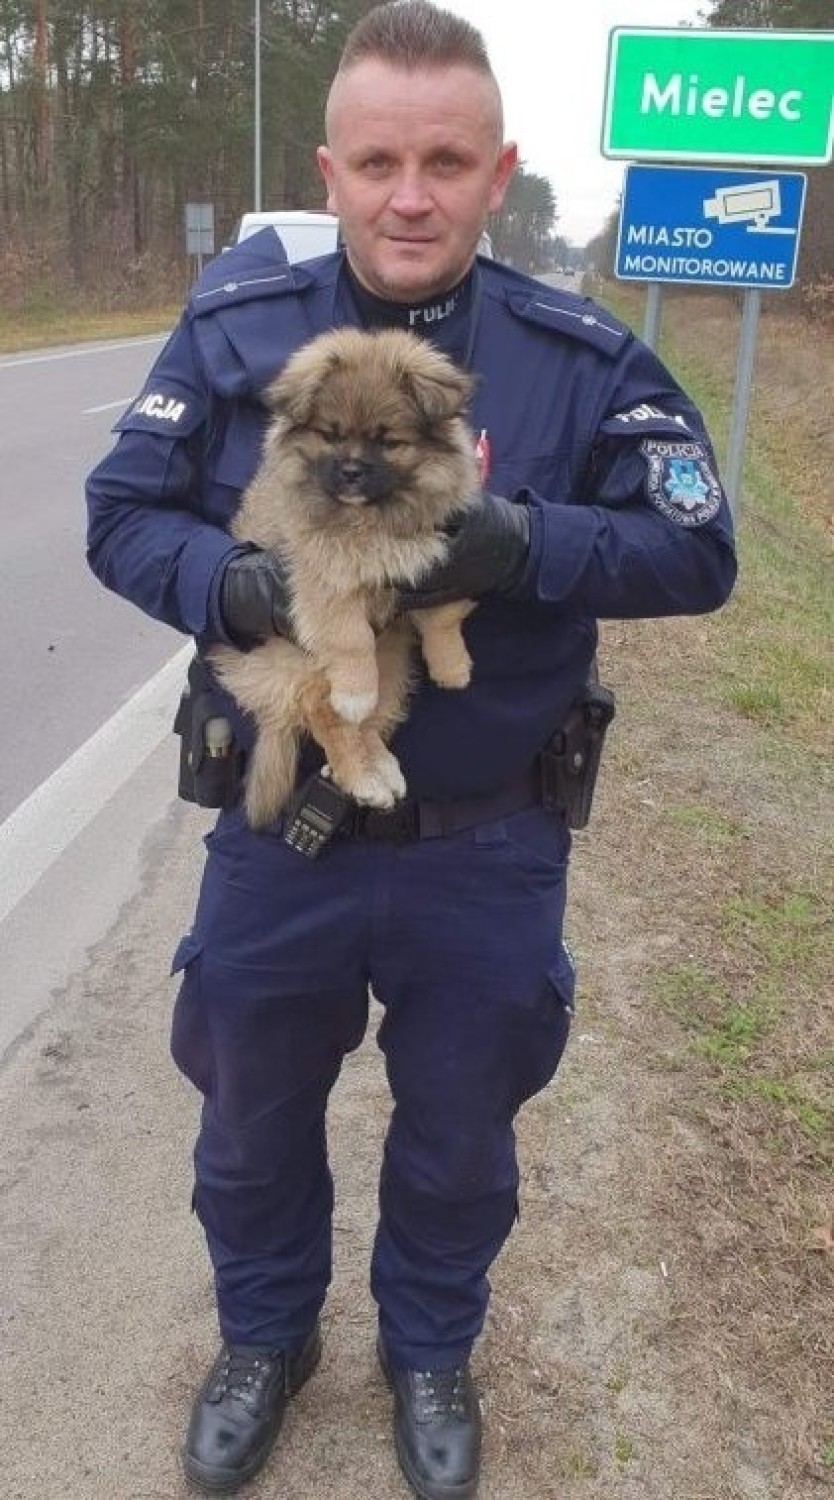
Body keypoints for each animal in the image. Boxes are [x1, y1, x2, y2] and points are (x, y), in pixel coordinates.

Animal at [211, 324, 480, 834]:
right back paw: (361, 775)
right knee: (326, 712)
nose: (352, 471)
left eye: (388, 441)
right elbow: (350, 639)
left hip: (393, 661)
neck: (371, 518)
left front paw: (452, 666)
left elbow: (443, 616)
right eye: (330, 436)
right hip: (303, 664)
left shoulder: (437, 561)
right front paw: (354, 691)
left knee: (372, 722)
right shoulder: (327, 579)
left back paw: (379, 768)